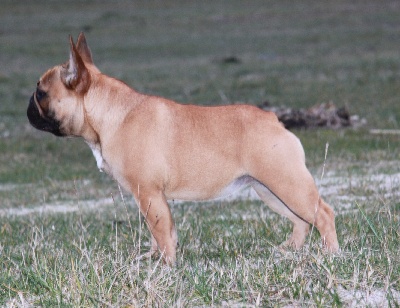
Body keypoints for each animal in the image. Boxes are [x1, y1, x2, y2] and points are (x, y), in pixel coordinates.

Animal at [27, 33, 338, 264]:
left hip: (286, 183)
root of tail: (274, 120)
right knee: (302, 221)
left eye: (41, 93)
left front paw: (166, 265)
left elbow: (161, 229)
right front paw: (153, 259)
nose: (28, 108)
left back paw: (331, 253)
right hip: (269, 189)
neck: (107, 113)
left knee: (322, 213)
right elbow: (157, 230)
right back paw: (288, 250)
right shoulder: (148, 197)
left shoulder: (149, 193)